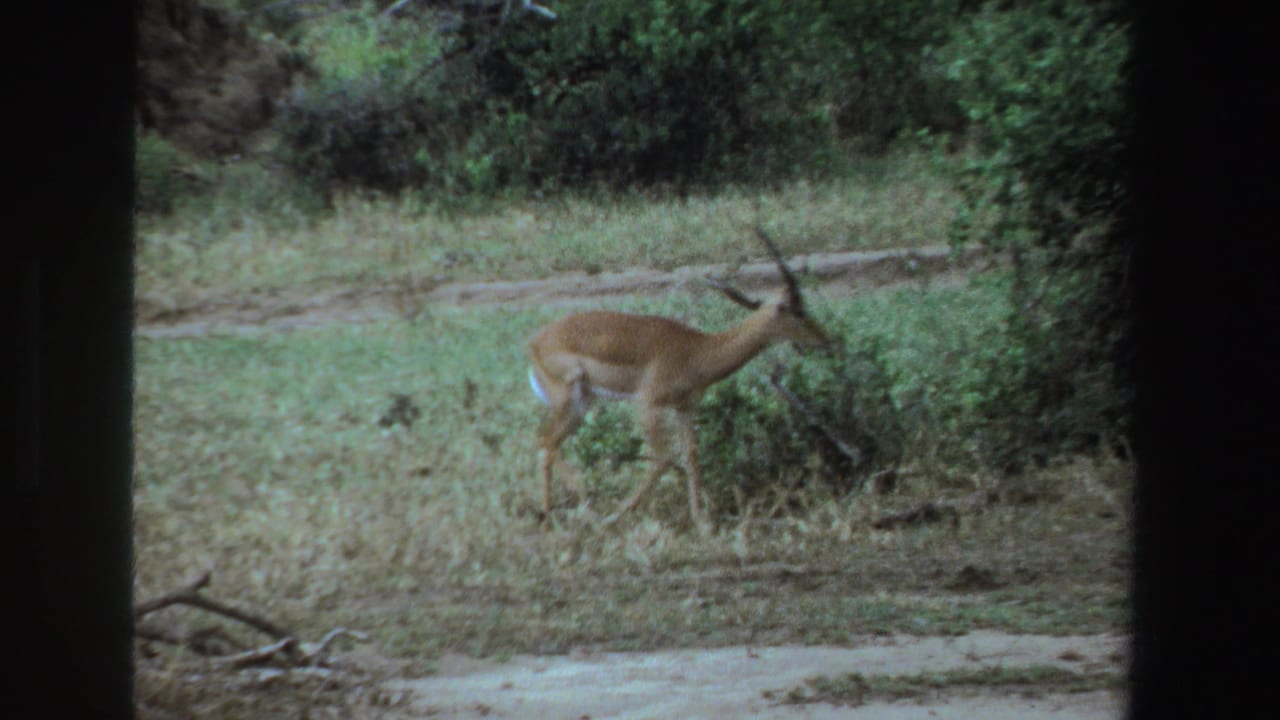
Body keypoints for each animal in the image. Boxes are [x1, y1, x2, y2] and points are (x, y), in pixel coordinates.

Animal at [526, 229, 832, 526]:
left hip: (583, 403)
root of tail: (535, 343)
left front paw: (701, 521)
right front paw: (619, 513)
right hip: (570, 400)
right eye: (798, 310)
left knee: (545, 442)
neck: (698, 350)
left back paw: (553, 515)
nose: (825, 340)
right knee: (546, 442)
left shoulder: (685, 407)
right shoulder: (648, 404)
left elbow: (691, 456)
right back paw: (586, 508)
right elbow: (661, 460)